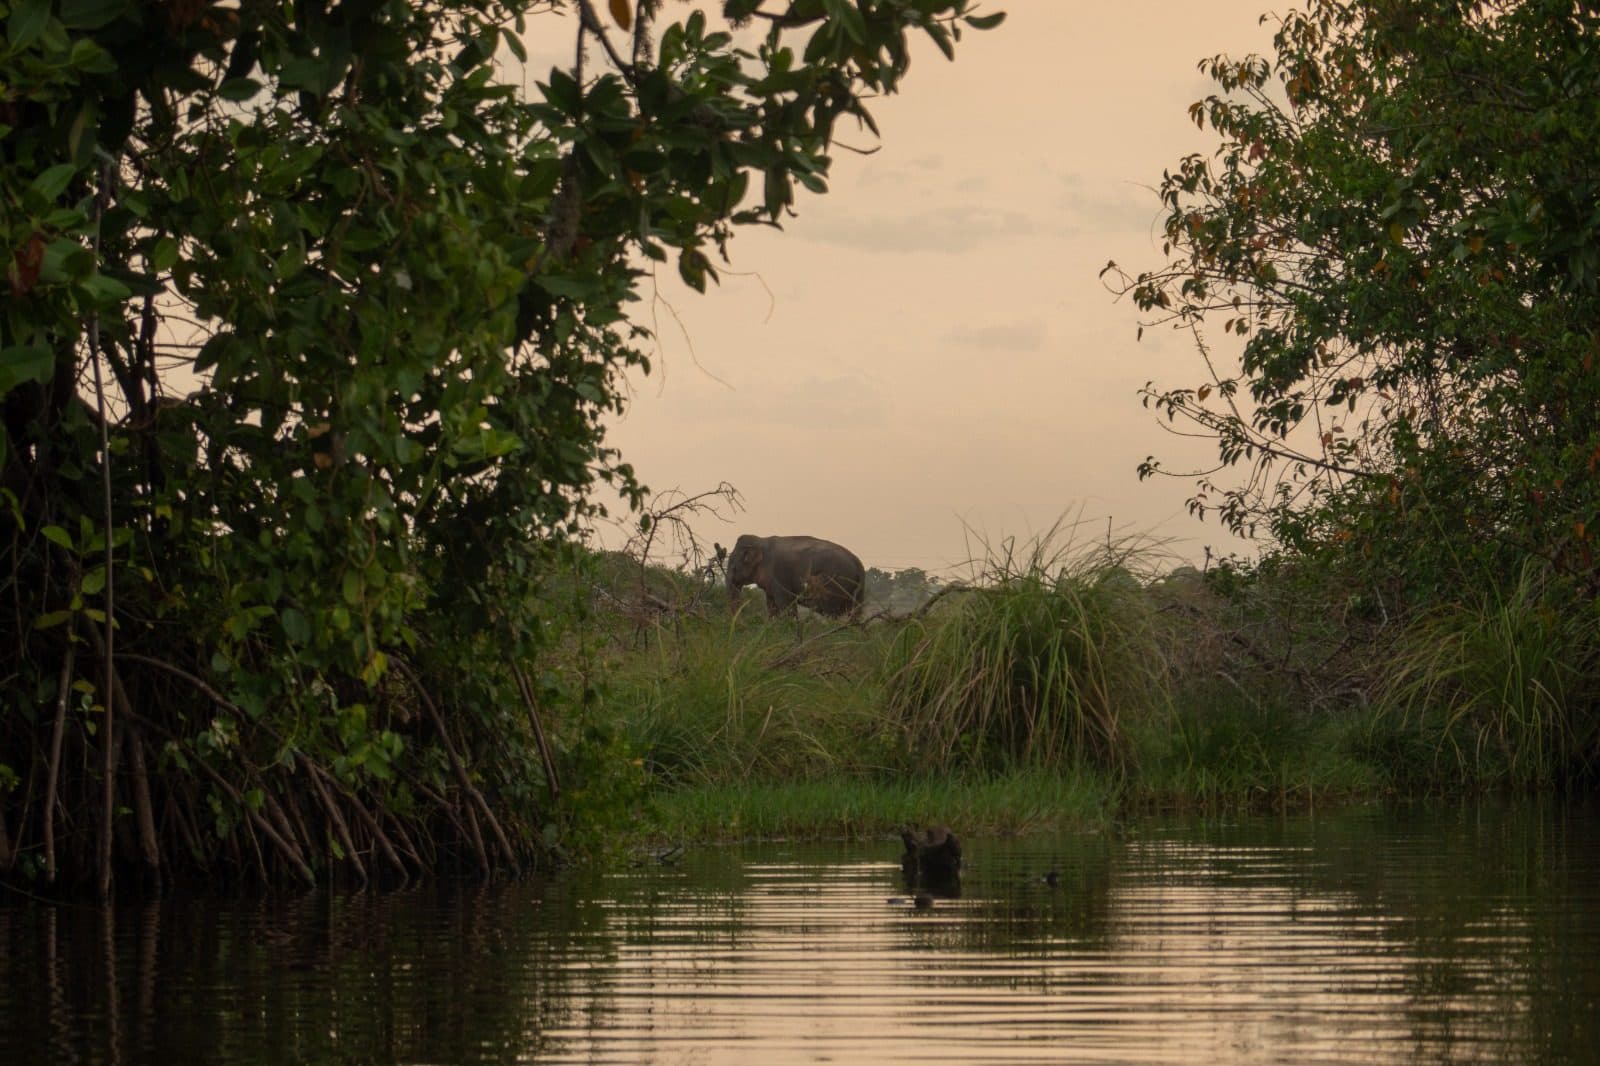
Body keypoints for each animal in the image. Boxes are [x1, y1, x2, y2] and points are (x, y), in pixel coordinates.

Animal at [724, 534, 865, 619]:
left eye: (733, 566)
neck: (761, 540)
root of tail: (858, 562)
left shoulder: (779, 575)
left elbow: (785, 603)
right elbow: (771, 604)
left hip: (834, 582)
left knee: (831, 610)